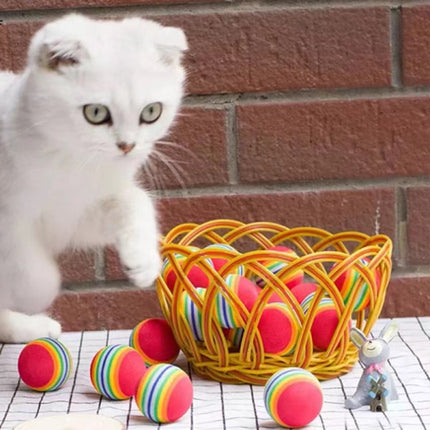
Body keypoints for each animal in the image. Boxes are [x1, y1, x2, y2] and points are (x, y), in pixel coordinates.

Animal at [0, 14, 186, 342]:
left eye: (151, 111)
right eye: (96, 113)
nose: (127, 145)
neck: (69, 161)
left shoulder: (74, 214)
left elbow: (135, 199)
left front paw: (143, 259)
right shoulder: (9, 224)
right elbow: (32, 270)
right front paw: (37, 292)